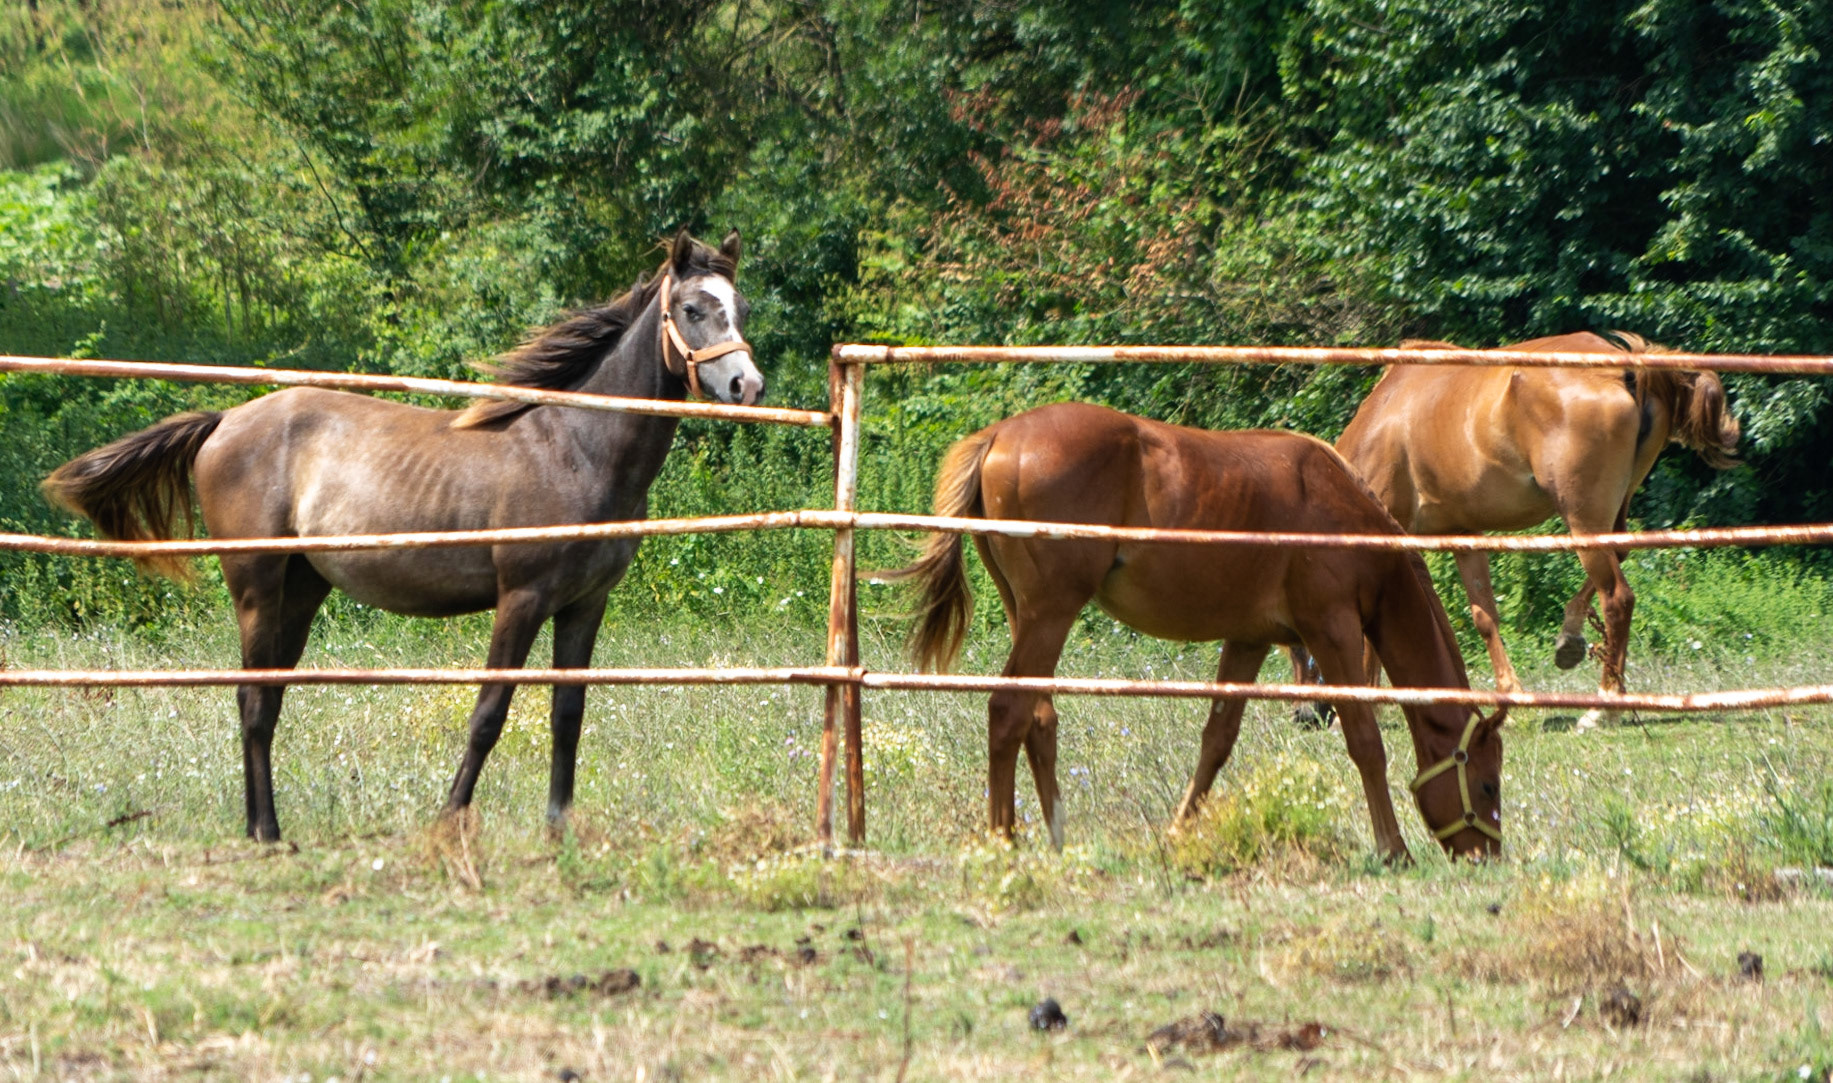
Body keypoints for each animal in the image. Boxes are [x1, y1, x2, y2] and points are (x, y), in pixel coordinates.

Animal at [41, 229, 764, 842]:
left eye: (741, 307)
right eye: (693, 308)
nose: (746, 384)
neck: (576, 448)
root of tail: (223, 421)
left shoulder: (585, 605)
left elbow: (568, 715)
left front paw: (558, 829)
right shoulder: (522, 598)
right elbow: (489, 713)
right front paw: (449, 822)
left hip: (300, 591)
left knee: (266, 698)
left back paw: (261, 828)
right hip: (255, 586)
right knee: (250, 698)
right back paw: (266, 832)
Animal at [888, 402, 1506, 862]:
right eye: (1488, 784)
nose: (1485, 856)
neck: (1340, 510)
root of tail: (998, 435)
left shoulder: (1250, 639)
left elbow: (1217, 740)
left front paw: (1179, 831)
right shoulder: (1331, 631)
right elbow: (1365, 741)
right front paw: (1393, 847)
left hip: (1031, 614)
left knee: (1038, 716)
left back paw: (1055, 834)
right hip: (1050, 613)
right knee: (1007, 709)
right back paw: (1003, 839)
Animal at [1330, 331, 1738, 729]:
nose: (1316, 715)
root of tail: (1624, 369)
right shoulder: (1464, 536)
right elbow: (1484, 617)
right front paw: (1509, 695)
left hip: (1584, 523)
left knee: (1617, 598)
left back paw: (1605, 705)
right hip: (1606, 518)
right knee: (1617, 561)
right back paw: (1572, 637)